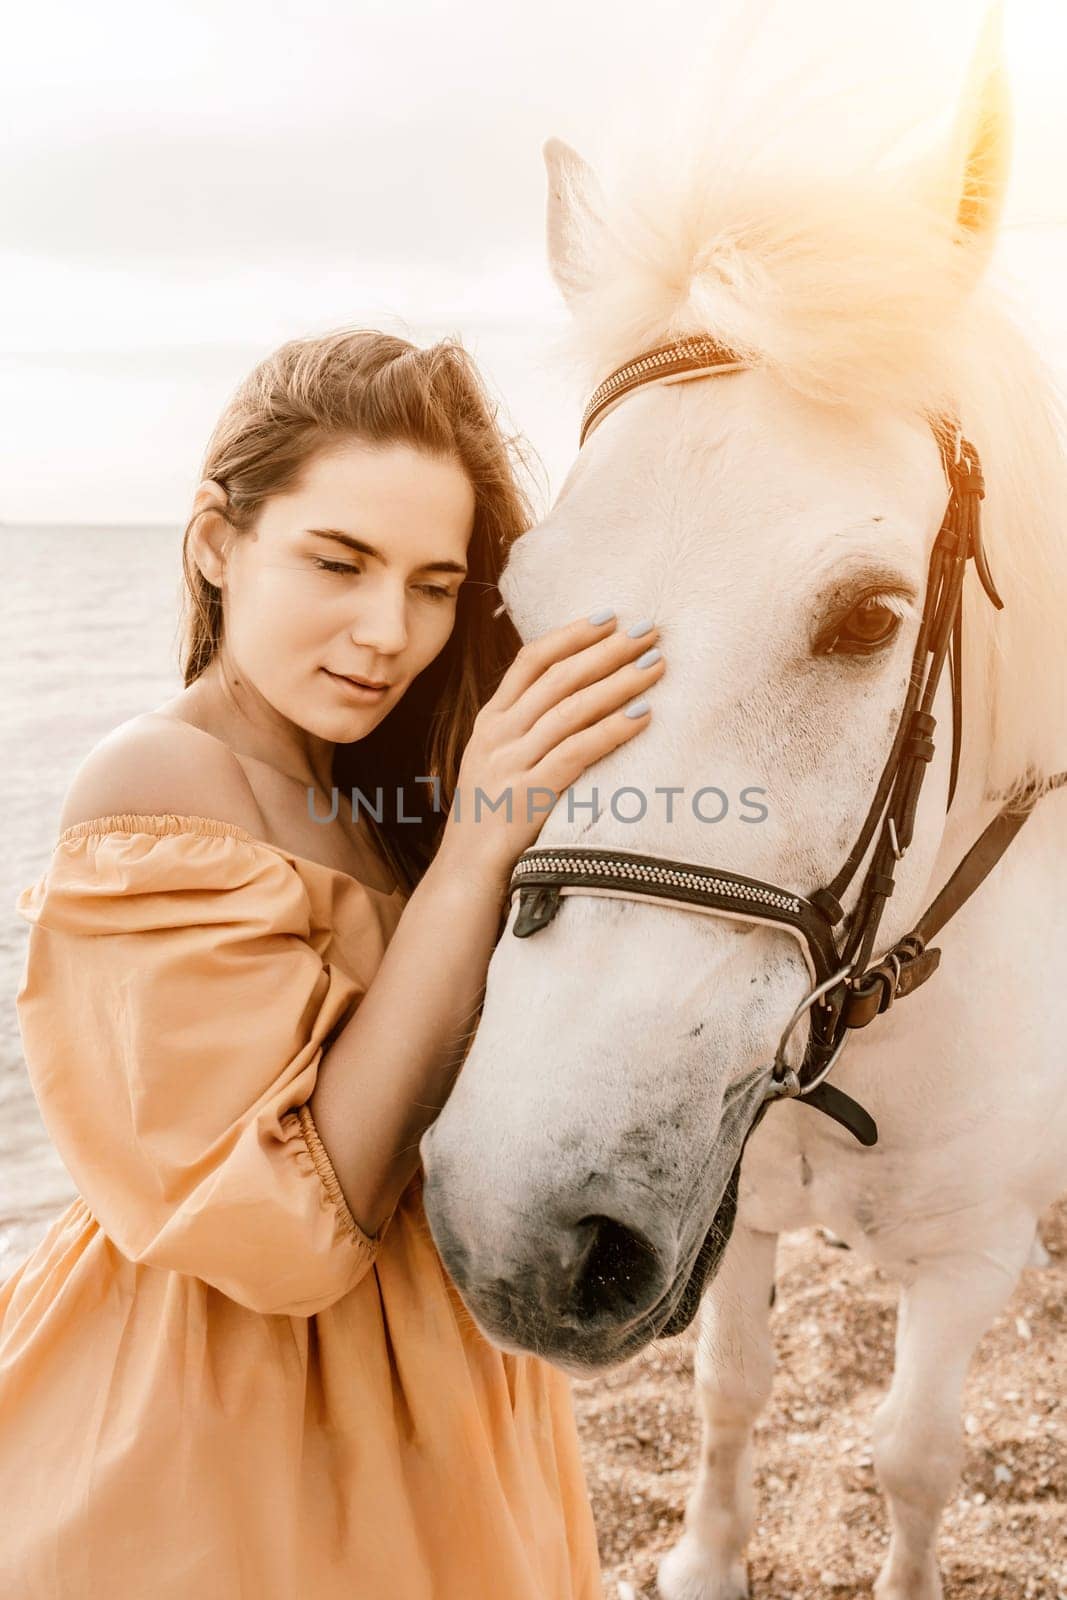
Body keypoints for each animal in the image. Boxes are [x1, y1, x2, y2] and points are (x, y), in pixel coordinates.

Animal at [419, 15, 1067, 1600]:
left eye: (868, 617)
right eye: (515, 609)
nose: (513, 1226)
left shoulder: (969, 1264)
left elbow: (913, 1458)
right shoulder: (737, 1200)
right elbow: (728, 1391)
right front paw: (705, 1560)